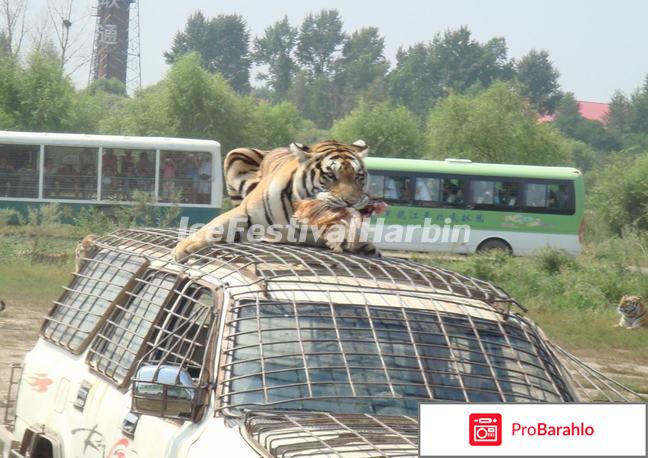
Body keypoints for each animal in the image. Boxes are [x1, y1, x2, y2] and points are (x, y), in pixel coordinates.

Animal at [171, 140, 380, 262]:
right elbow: (214, 225)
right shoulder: (244, 213)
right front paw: (183, 249)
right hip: (235, 156)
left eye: (358, 177)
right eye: (330, 176)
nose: (351, 202)